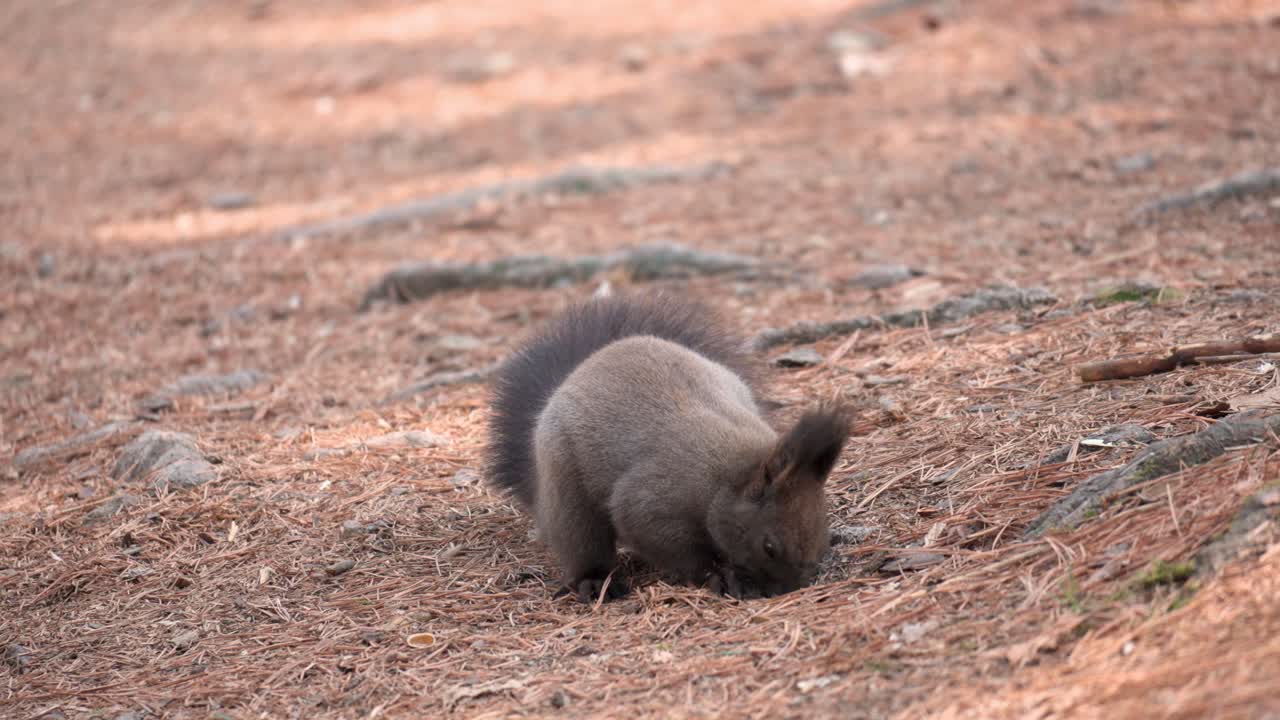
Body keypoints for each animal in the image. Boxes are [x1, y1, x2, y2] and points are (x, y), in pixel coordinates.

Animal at [485, 293, 850, 603]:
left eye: (824, 542)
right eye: (770, 546)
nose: (783, 591)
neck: (730, 474)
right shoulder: (653, 499)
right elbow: (666, 541)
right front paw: (720, 574)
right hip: (566, 485)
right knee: (581, 540)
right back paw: (595, 582)